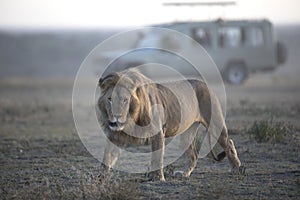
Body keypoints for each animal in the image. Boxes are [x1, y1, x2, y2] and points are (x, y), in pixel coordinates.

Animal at [97, 67, 245, 181]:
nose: (116, 116)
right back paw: (184, 174)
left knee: (229, 143)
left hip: (215, 124)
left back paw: (236, 168)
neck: (131, 118)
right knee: (193, 155)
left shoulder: (157, 132)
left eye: (125, 100)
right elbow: (107, 157)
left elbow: (157, 158)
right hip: (187, 134)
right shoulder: (116, 136)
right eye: (110, 99)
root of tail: (205, 83)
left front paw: (158, 178)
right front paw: (101, 178)